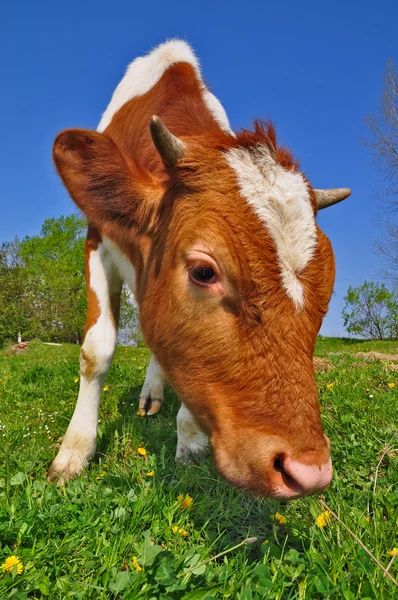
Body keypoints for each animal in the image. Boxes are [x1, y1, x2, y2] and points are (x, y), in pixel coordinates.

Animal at [50, 38, 352, 496]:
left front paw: (190, 440)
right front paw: (74, 452)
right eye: (204, 272)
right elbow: (95, 350)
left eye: (328, 289)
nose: (309, 472)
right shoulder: (97, 240)